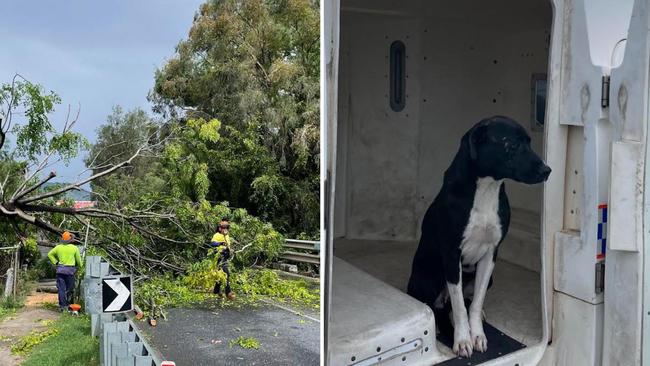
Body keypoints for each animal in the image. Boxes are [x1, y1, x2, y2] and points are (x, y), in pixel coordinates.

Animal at [408, 116, 548, 358]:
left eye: (529, 143)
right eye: (511, 144)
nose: (547, 170)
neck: (486, 188)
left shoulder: (491, 253)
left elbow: (474, 303)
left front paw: (477, 334)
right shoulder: (451, 255)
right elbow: (459, 308)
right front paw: (463, 339)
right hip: (430, 273)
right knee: (440, 304)